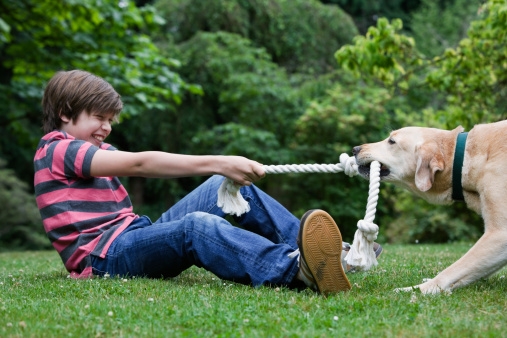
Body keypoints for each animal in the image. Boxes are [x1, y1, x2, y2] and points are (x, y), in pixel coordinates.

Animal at [354, 120, 507, 294]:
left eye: (392, 141)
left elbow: (451, 271)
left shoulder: (499, 234)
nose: (355, 149)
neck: (463, 157)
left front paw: (417, 289)